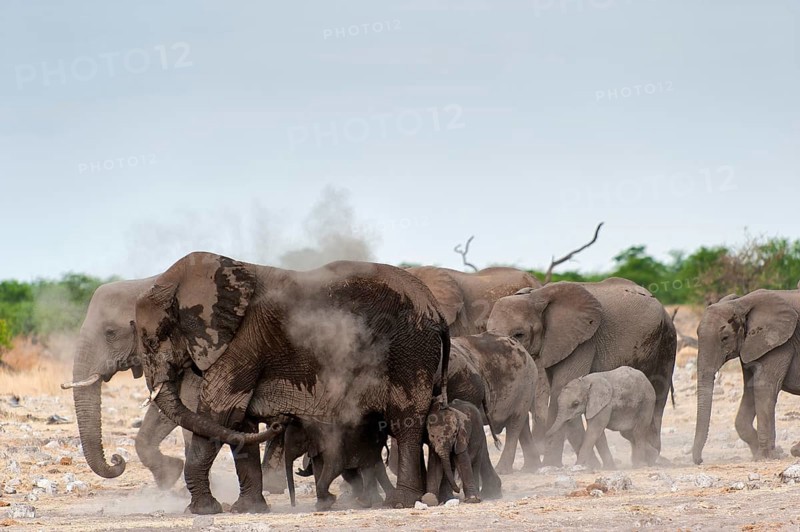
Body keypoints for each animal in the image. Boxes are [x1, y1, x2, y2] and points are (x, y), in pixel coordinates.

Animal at [135, 252, 450, 513]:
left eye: (151, 341)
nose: (280, 423)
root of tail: (436, 308)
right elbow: (240, 424)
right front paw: (247, 509)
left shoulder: (241, 346)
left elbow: (221, 413)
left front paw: (202, 510)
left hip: (409, 349)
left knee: (405, 421)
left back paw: (401, 502)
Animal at [486, 277, 676, 467]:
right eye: (486, 332)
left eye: (519, 334)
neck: (536, 295)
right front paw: (590, 465)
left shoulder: (584, 341)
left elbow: (560, 389)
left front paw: (551, 465)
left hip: (667, 337)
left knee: (659, 395)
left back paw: (651, 456)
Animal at [692, 289, 800, 464]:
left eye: (725, 338)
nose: (700, 460)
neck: (742, 302)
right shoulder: (751, 345)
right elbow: (750, 389)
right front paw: (768, 453)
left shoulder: (780, 343)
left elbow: (764, 389)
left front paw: (765, 457)